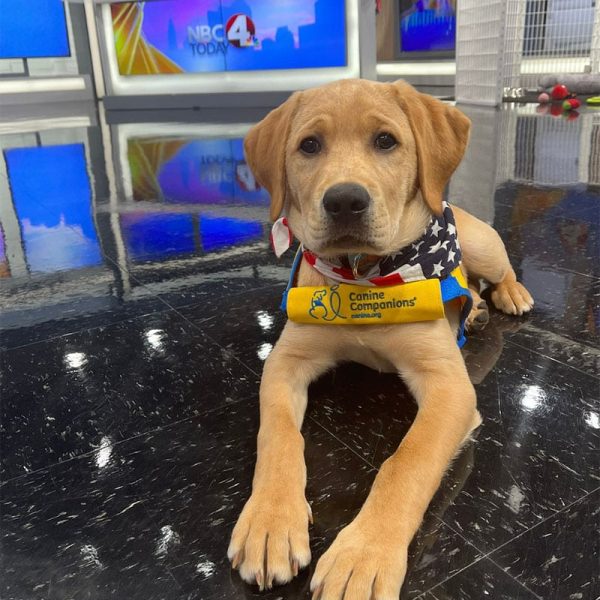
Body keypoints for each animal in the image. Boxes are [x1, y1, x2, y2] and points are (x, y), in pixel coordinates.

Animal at [227, 81, 532, 600]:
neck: (362, 278)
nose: (345, 201)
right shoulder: (285, 361)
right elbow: (278, 436)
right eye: (309, 145)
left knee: (499, 267)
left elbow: (406, 463)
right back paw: (476, 305)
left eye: (386, 141)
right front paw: (269, 521)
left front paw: (363, 555)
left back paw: (507, 294)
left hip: (481, 243)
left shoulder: (450, 385)